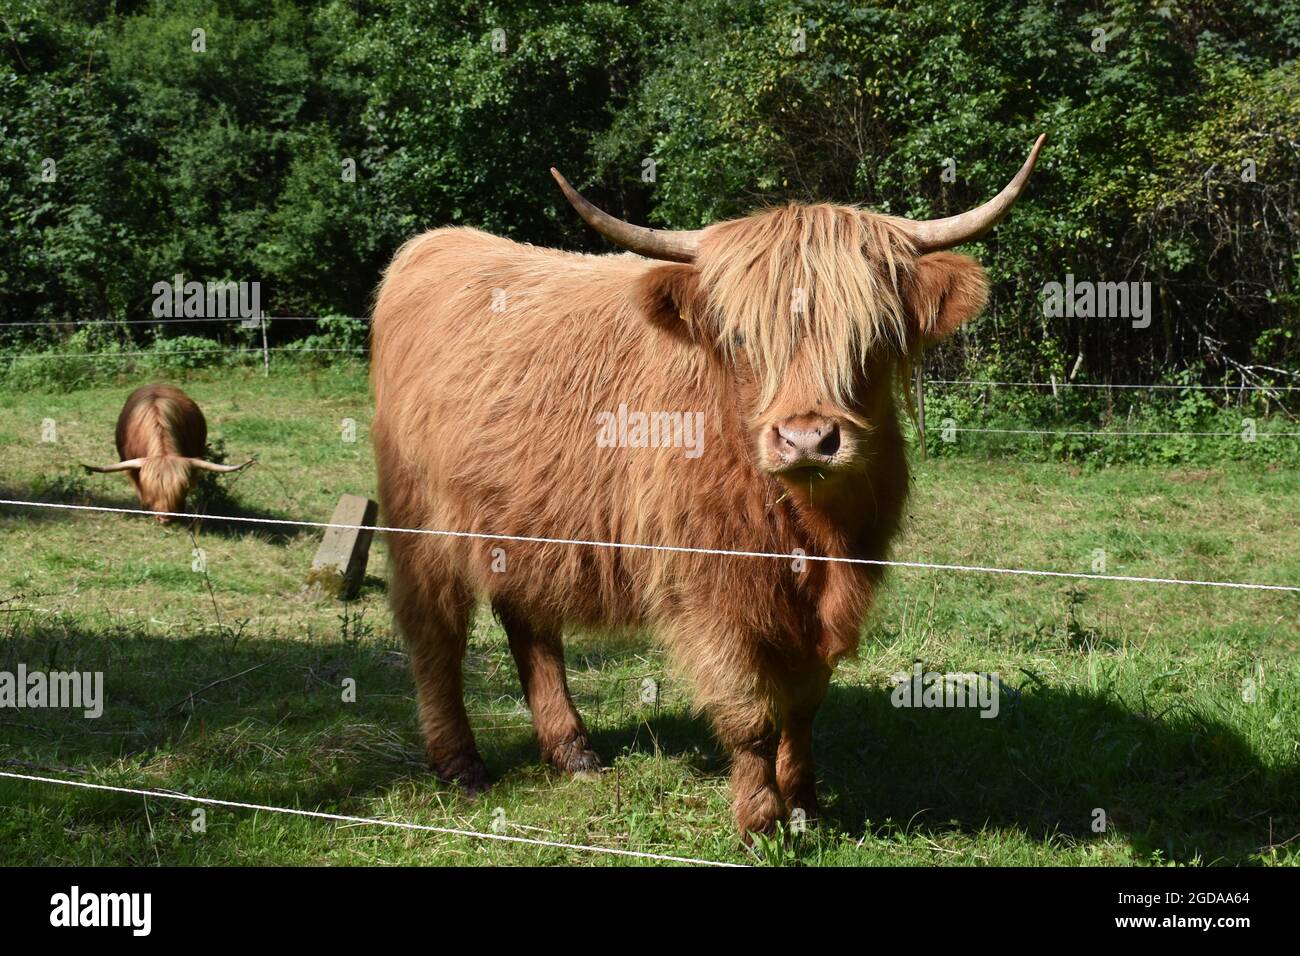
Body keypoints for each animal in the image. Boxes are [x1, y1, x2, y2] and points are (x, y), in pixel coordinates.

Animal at [370, 136, 1044, 840]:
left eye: (875, 335)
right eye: (742, 337)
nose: (807, 439)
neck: (807, 530)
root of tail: (436, 243)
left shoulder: (831, 592)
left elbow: (804, 703)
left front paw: (804, 803)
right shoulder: (706, 586)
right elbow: (749, 710)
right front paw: (759, 820)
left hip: (520, 520)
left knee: (527, 619)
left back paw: (573, 751)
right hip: (420, 522)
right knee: (435, 632)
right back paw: (461, 764)